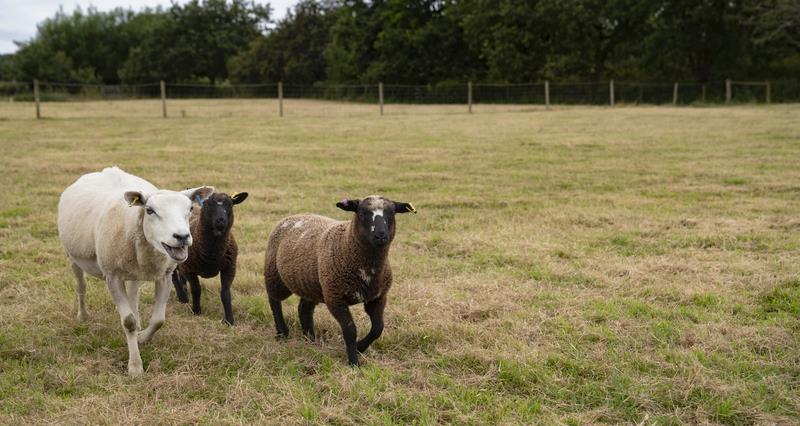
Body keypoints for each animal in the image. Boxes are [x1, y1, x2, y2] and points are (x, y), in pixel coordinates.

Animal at [57, 166, 213, 376]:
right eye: (150, 210)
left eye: (190, 209)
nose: (181, 236)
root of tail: (106, 170)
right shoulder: (113, 276)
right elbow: (128, 322)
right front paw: (135, 367)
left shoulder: (164, 276)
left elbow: (158, 320)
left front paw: (141, 337)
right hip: (73, 257)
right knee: (81, 287)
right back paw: (83, 316)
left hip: (132, 271)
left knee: (133, 294)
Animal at [172, 191, 248, 325]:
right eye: (207, 204)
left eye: (230, 204)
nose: (220, 220)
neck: (212, 255)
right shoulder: (190, 270)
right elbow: (196, 290)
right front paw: (196, 311)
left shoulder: (230, 268)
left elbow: (225, 293)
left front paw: (230, 321)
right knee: (173, 276)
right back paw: (183, 297)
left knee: (181, 276)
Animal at [264, 195, 416, 366]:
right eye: (362, 213)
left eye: (392, 213)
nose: (380, 235)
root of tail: (292, 216)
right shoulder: (335, 298)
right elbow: (350, 330)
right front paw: (354, 362)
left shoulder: (377, 297)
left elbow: (378, 328)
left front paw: (360, 347)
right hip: (274, 274)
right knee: (274, 301)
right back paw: (282, 333)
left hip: (312, 284)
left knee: (304, 308)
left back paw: (309, 338)